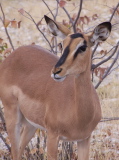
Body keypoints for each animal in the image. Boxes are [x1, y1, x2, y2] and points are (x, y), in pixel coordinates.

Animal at [0, 15, 111, 160]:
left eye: (82, 47)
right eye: (62, 44)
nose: (56, 71)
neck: (79, 116)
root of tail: (12, 56)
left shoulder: (84, 139)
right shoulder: (53, 135)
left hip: (30, 124)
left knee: (19, 151)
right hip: (12, 116)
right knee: (14, 152)